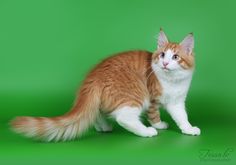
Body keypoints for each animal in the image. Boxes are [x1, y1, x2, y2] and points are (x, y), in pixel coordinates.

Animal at [10, 29, 199, 142]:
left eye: (175, 57)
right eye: (162, 55)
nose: (165, 63)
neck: (172, 81)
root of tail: (94, 75)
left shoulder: (176, 102)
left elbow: (182, 117)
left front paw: (189, 129)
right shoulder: (152, 99)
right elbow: (154, 115)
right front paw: (158, 125)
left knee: (98, 111)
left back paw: (103, 127)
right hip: (135, 95)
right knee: (123, 118)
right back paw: (146, 131)